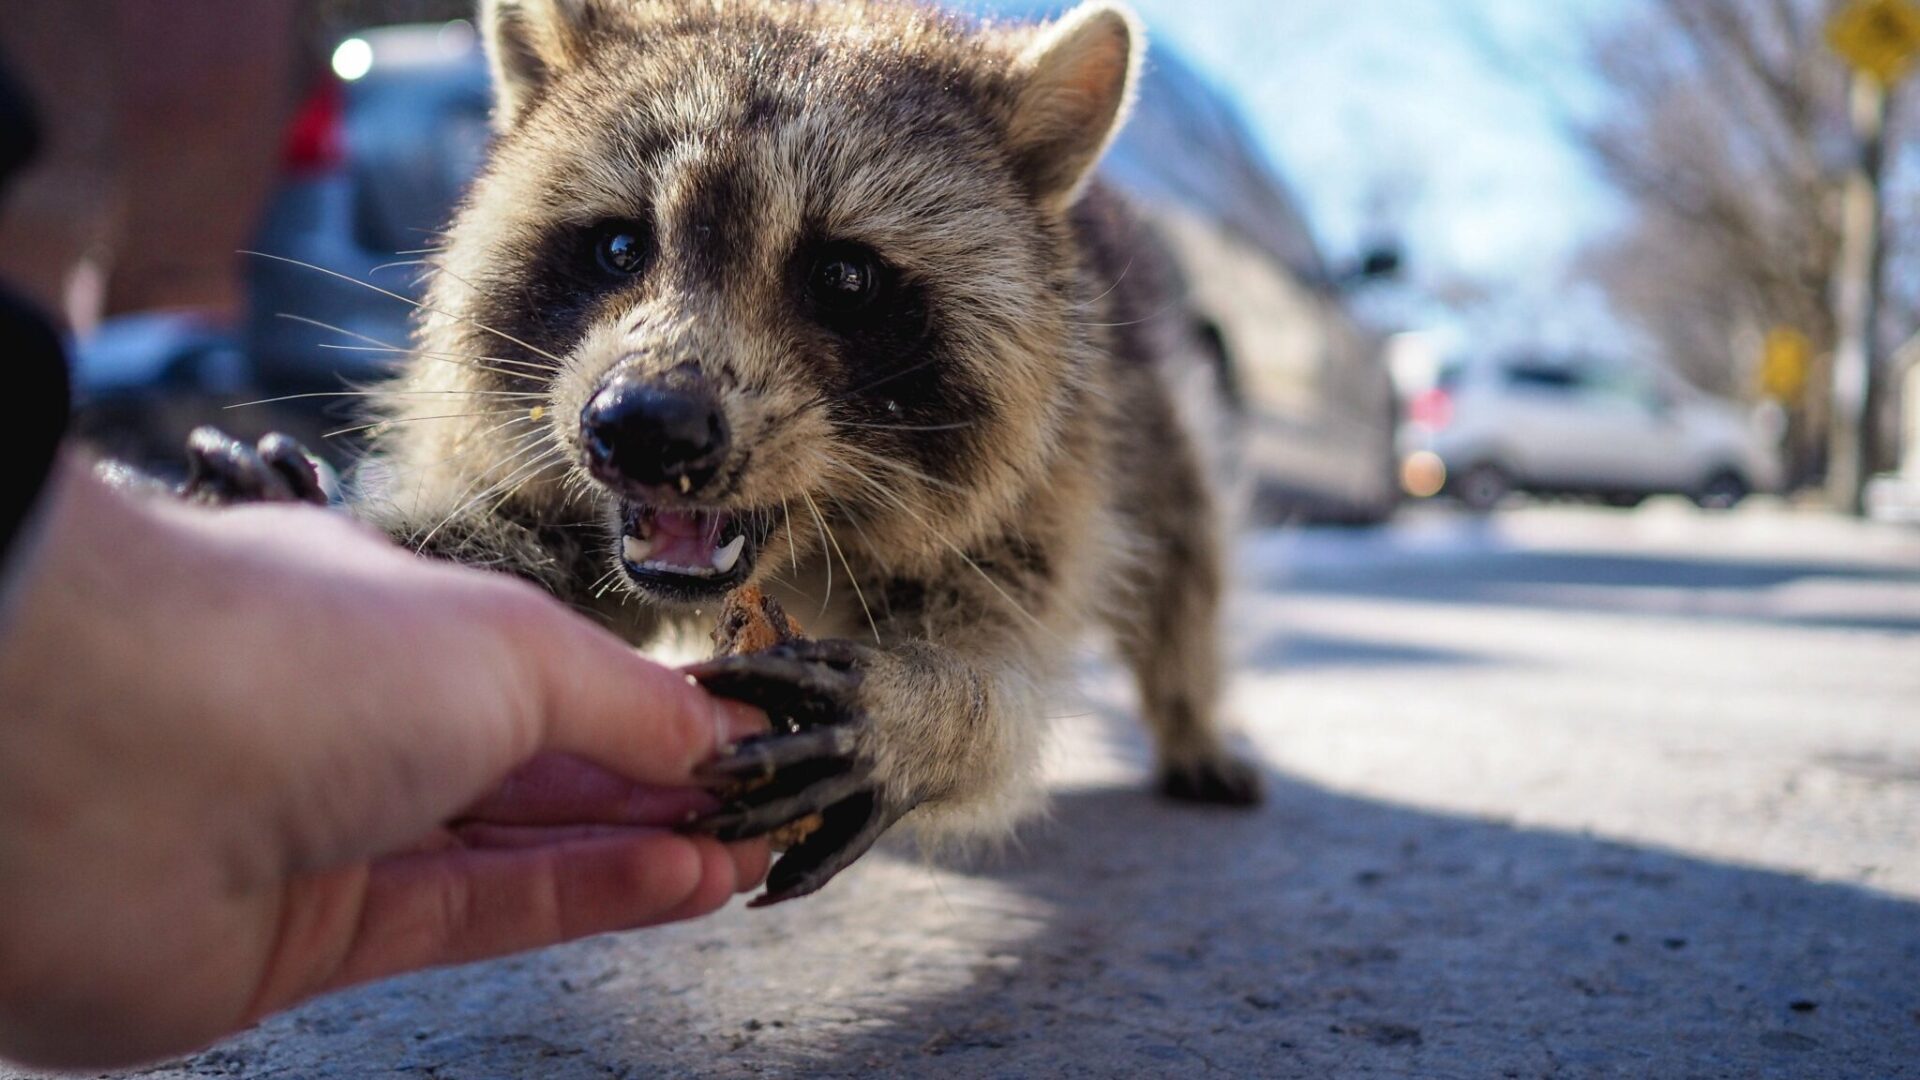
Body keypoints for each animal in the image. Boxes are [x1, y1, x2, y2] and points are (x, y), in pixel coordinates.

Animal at [191, 0, 1259, 899]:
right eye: (619, 247)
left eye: (843, 276)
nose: (645, 426)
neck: (804, 545)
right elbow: (512, 545)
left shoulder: (1060, 470)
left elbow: (1012, 666)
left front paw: (932, 712)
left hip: (1146, 402)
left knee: (1186, 546)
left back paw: (1189, 709)